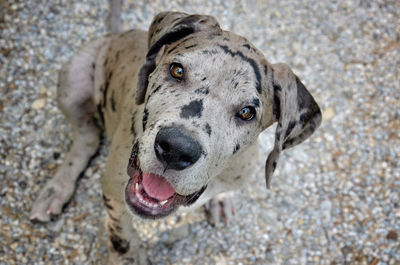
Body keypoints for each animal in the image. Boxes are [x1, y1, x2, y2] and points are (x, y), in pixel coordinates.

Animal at [29, 11, 322, 262]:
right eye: (177, 70)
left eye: (247, 112)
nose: (176, 149)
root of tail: (116, 33)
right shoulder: (113, 190)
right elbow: (122, 237)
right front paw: (128, 256)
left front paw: (222, 200)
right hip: (73, 79)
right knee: (85, 138)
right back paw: (56, 189)